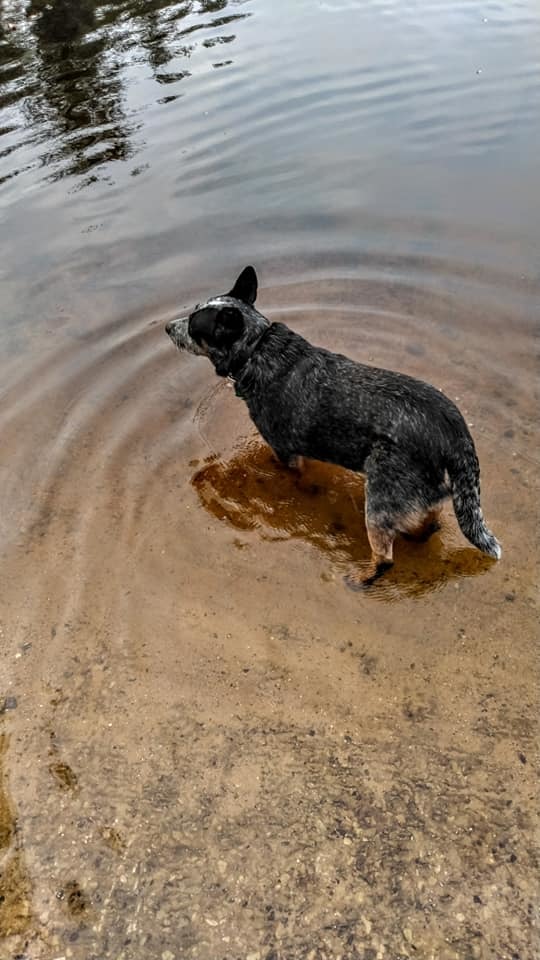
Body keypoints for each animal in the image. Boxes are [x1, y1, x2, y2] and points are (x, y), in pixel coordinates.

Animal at [166, 266, 502, 588]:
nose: (168, 327)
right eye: (192, 312)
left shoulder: (284, 451)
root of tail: (454, 429)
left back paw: (362, 579)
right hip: (423, 492)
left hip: (380, 500)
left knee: (385, 557)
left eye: (194, 326)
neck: (258, 348)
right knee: (430, 520)